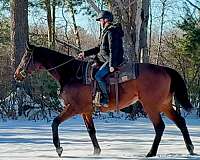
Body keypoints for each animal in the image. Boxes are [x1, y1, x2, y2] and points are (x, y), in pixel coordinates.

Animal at [14, 43, 195, 158]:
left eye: (25, 57)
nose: (17, 74)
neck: (71, 73)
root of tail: (165, 69)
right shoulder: (86, 110)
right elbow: (91, 130)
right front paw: (96, 151)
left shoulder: (73, 108)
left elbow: (55, 122)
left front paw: (59, 148)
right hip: (164, 104)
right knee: (180, 122)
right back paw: (191, 149)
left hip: (151, 105)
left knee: (160, 127)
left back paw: (151, 153)